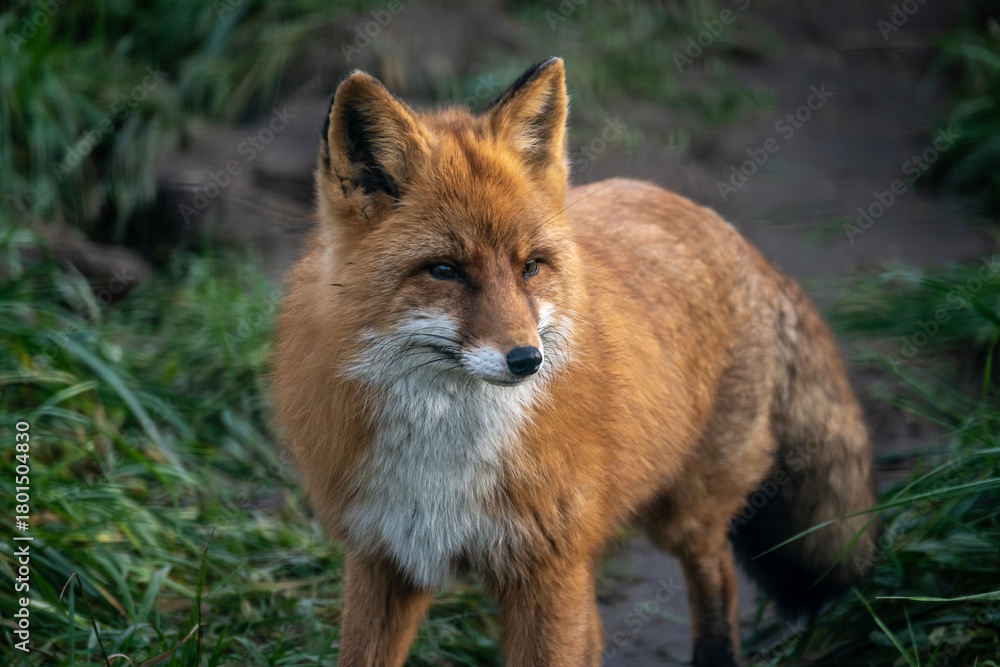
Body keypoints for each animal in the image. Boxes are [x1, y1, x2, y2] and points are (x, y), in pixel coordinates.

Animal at [271, 57, 880, 667]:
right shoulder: (385, 557)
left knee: (718, 576)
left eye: (530, 267)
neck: (445, 456)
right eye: (444, 270)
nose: (527, 361)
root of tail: (727, 229)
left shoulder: (547, 567)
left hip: (684, 512)